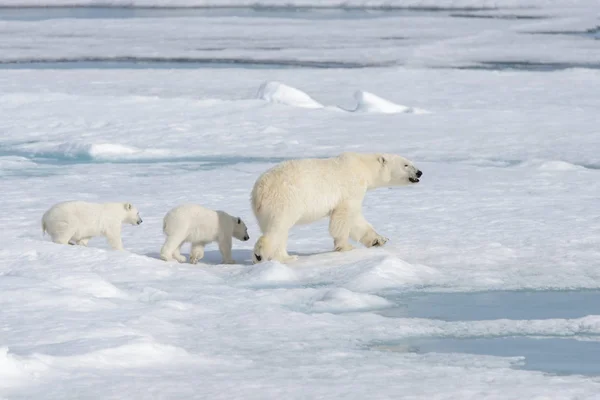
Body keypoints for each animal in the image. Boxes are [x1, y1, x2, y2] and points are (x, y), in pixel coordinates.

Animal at [251, 152, 424, 264]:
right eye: (406, 164)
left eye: (410, 162)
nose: (420, 172)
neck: (363, 166)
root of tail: (259, 190)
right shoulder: (350, 189)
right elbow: (344, 217)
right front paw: (346, 247)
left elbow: (356, 220)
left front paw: (379, 240)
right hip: (285, 200)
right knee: (278, 228)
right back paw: (266, 255)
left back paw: (285, 256)